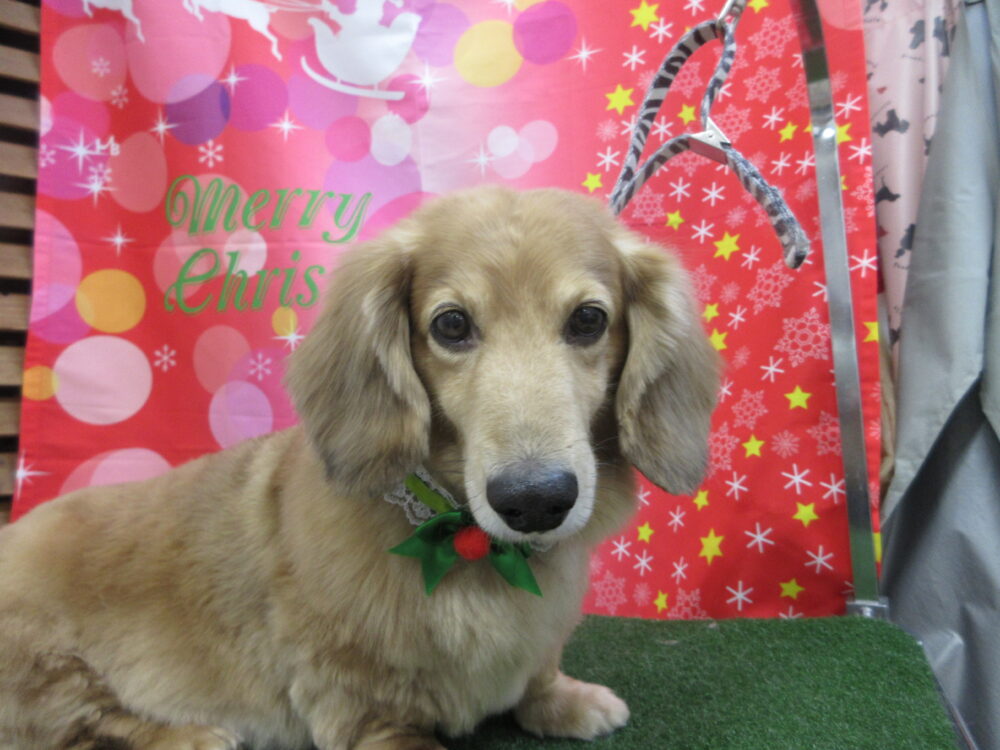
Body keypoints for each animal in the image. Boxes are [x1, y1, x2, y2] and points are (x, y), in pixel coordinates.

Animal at [0, 186, 717, 750]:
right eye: (451, 325)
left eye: (589, 319)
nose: (535, 500)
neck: (463, 541)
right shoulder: (361, 710)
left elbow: (537, 672)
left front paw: (562, 700)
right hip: (46, 662)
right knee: (80, 726)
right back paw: (188, 736)